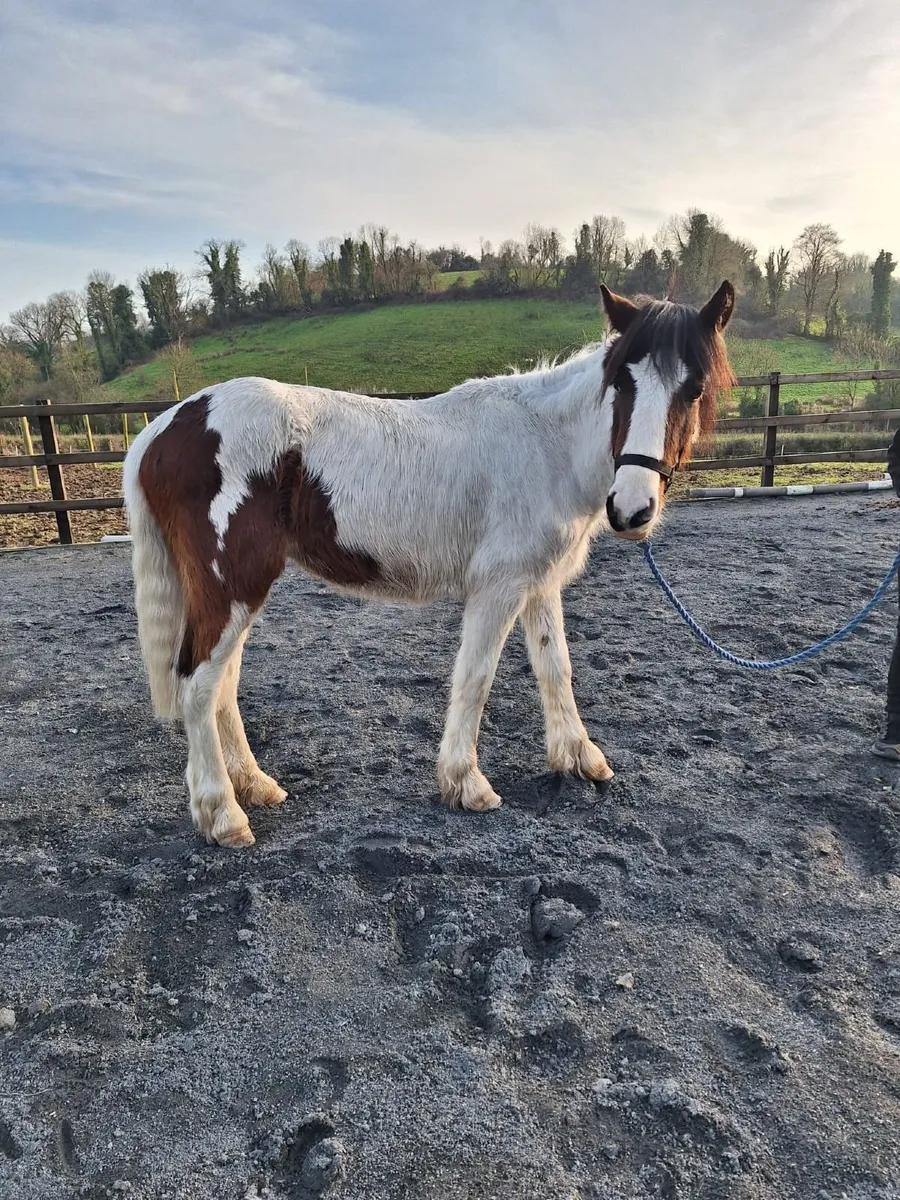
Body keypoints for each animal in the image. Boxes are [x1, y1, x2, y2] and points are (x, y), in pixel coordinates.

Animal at [123, 282, 736, 847]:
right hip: (232, 586)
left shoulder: (539, 585)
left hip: (236, 592)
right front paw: (466, 783)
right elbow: (476, 676)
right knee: (198, 685)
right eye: (622, 384)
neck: (547, 444)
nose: (632, 509)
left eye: (694, 389)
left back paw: (255, 785)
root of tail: (163, 427)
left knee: (222, 685)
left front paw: (578, 757)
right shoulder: (498, 587)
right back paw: (222, 814)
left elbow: (554, 667)